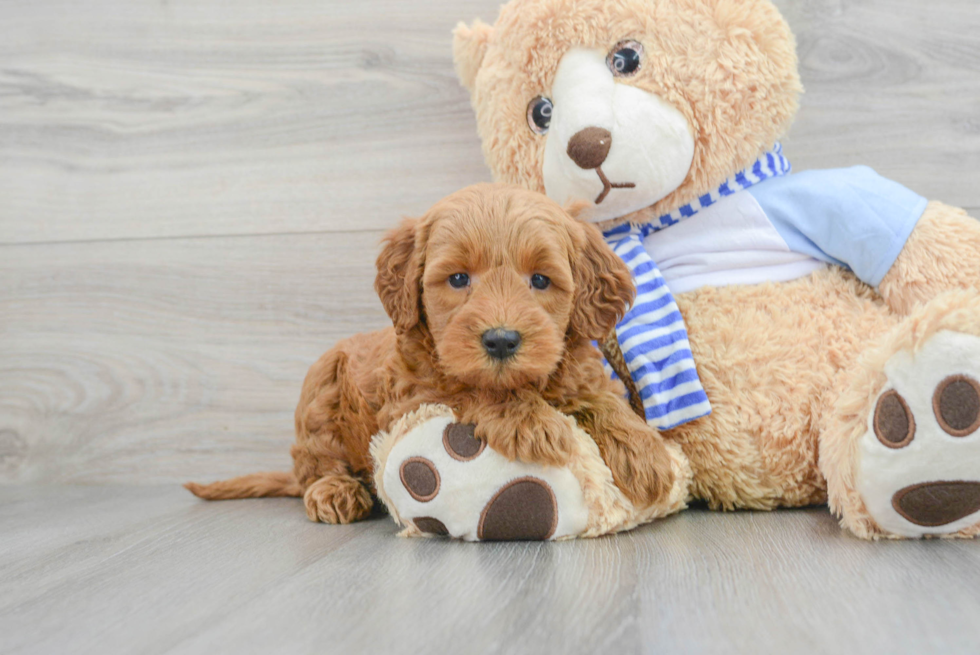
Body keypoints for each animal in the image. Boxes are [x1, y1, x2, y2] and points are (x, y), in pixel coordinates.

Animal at [192, 183, 680, 524]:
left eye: (540, 280)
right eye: (459, 278)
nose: (501, 340)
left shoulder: (580, 374)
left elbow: (603, 401)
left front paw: (646, 452)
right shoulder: (414, 397)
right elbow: (472, 389)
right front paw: (533, 422)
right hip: (321, 391)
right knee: (317, 461)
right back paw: (335, 492)